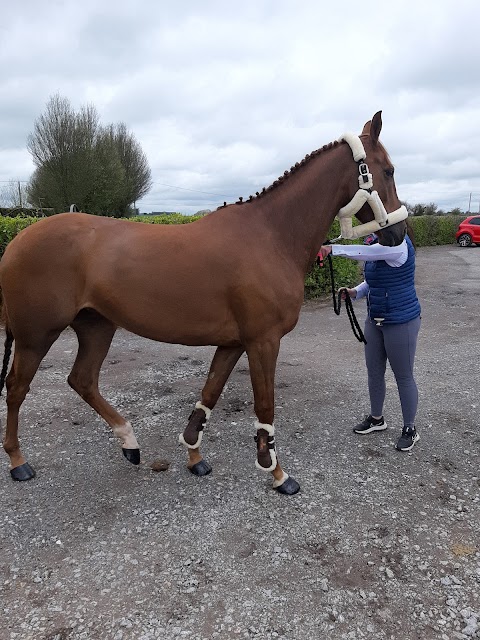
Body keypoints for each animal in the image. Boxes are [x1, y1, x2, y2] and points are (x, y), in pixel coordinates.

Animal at [0, 111, 404, 496]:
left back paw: (129, 443)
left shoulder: (233, 342)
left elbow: (210, 392)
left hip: (96, 326)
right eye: (388, 170)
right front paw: (277, 473)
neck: (270, 235)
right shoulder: (263, 341)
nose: (398, 233)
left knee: (82, 380)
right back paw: (18, 462)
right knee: (17, 387)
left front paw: (195, 455)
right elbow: (265, 404)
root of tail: (18, 239)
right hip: (37, 334)